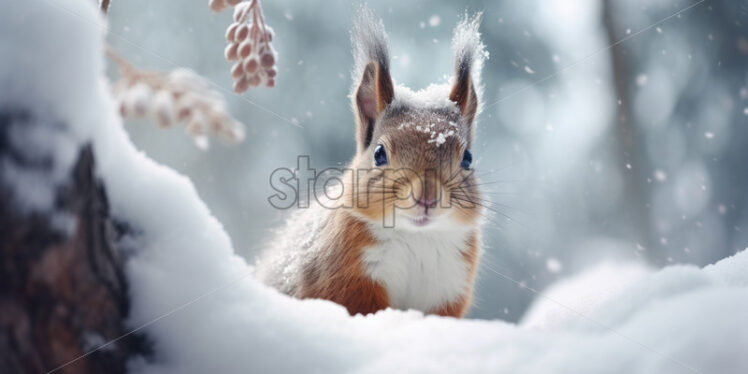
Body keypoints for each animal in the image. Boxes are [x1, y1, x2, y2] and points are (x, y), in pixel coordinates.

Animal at [258, 8, 488, 318]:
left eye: (467, 158)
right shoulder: (348, 278)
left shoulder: (448, 289)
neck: (417, 237)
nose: (427, 197)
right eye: (379, 153)